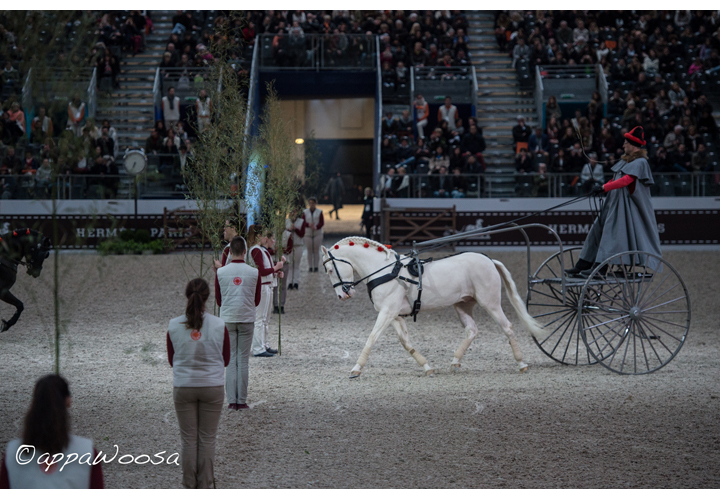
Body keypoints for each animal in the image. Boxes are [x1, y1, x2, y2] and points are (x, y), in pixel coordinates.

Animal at [322, 236, 544, 376]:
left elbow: (372, 337)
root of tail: (489, 260)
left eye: (330, 269)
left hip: (490, 303)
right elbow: (405, 342)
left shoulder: (387, 312)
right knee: (472, 330)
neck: (386, 271)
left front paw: (356, 369)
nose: (343, 295)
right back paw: (455, 362)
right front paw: (427, 366)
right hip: (462, 305)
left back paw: (522, 364)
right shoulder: (394, 315)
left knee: (507, 327)